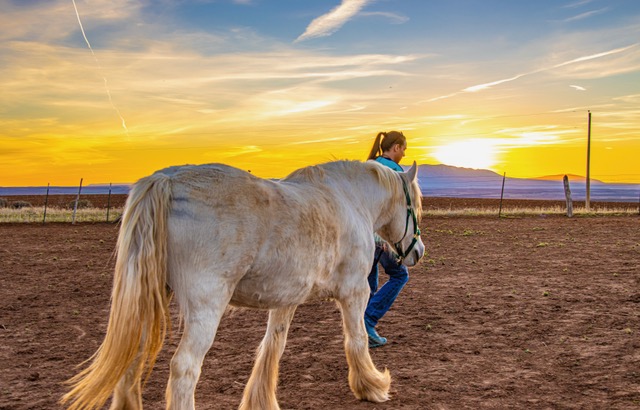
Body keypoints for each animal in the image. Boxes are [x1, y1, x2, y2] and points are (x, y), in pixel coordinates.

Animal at [61, 159, 425, 410]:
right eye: (416, 207)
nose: (418, 251)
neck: (348, 200)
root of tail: (168, 180)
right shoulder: (354, 292)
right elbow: (357, 340)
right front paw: (372, 386)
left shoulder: (286, 301)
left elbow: (272, 347)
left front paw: (261, 400)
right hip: (206, 309)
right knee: (184, 369)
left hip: (150, 298)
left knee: (133, 356)